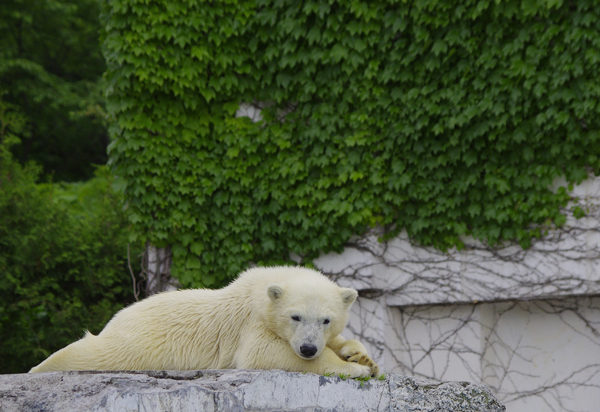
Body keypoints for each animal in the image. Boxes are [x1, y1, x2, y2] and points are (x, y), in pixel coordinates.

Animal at [29, 266, 380, 378]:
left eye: (326, 320)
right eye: (295, 316)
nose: (308, 348)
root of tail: (117, 318)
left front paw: (360, 356)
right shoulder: (251, 323)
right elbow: (263, 353)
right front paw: (355, 368)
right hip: (138, 343)